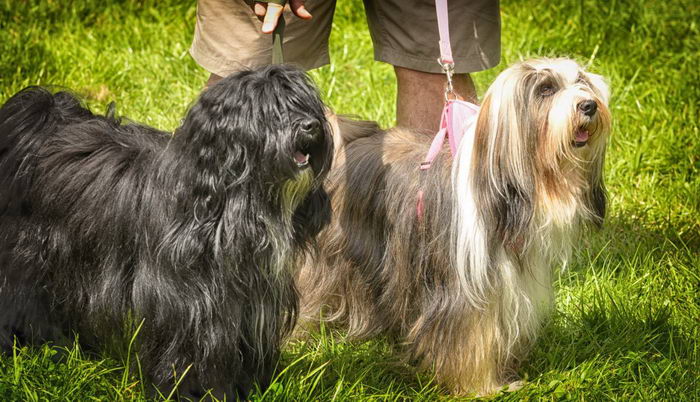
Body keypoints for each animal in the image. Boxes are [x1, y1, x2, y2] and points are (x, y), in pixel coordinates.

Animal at [0, 64, 332, 398]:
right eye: (269, 110)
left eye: (304, 103)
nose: (311, 125)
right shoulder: (184, 302)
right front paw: (184, 392)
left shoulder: (251, 301)